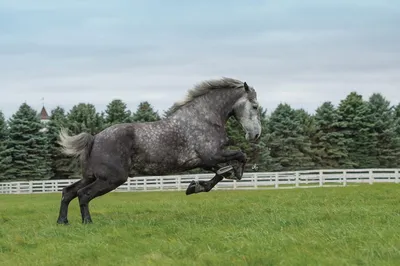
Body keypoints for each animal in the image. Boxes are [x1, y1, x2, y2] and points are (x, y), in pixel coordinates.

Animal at [56, 77, 262, 224]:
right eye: (255, 106)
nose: (256, 134)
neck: (204, 119)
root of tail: (95, 138)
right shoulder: (212, 156)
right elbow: (240, 156)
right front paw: (235, 173)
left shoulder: (205, 162)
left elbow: (220, 174)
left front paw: (195, 186)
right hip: (112, 179)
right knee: (84, 194)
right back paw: (87, 222)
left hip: (92, 176)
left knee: (68, 192)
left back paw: (63, 221)